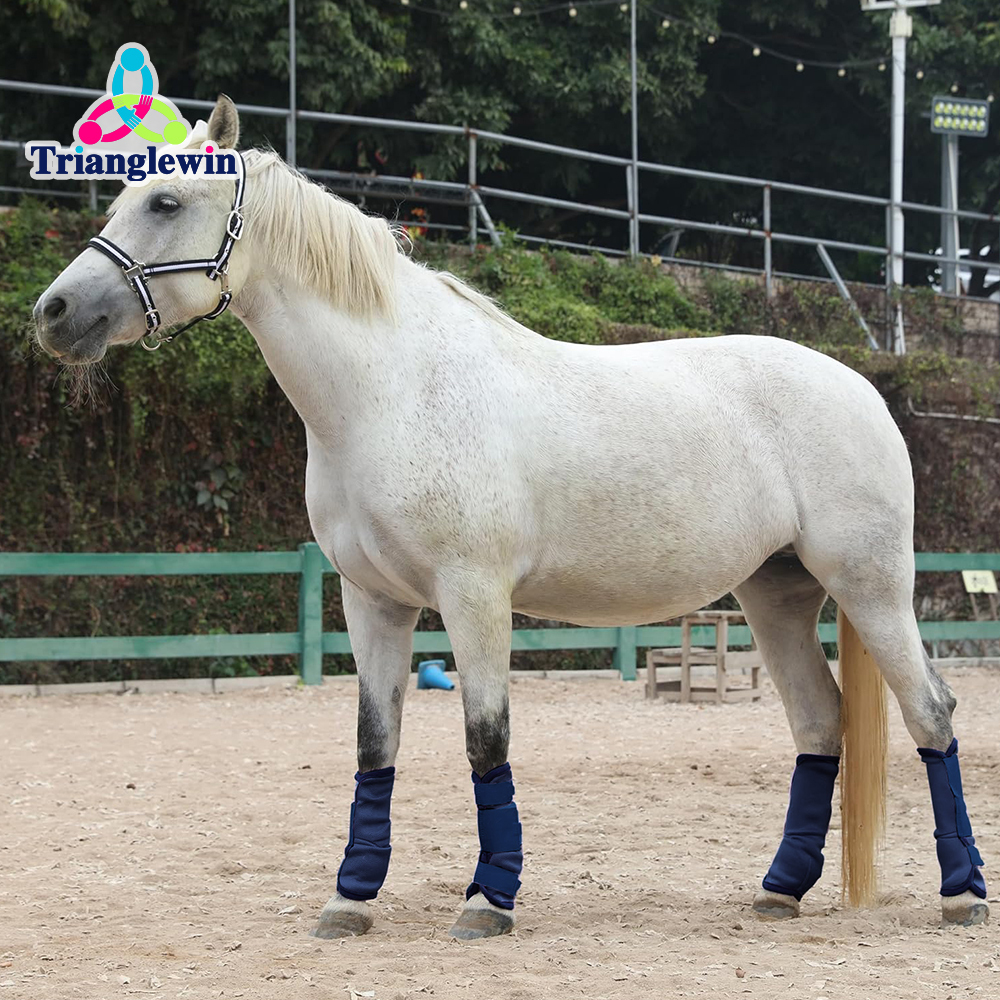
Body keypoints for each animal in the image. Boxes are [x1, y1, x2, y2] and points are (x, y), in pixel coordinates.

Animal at [32, 96, 988, 939]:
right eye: (119, 196)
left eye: (165, 201)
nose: (54, 313)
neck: (392, 390)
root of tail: (860, 385)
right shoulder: (371, 603)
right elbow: (375, 744)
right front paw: (350, 900)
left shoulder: (474, 597)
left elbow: (484, 739)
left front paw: (488, 901)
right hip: (777, 595)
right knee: (820, 722)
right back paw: (779, 890)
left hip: (869, 586)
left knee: (932, 711)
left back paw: (962, 895)